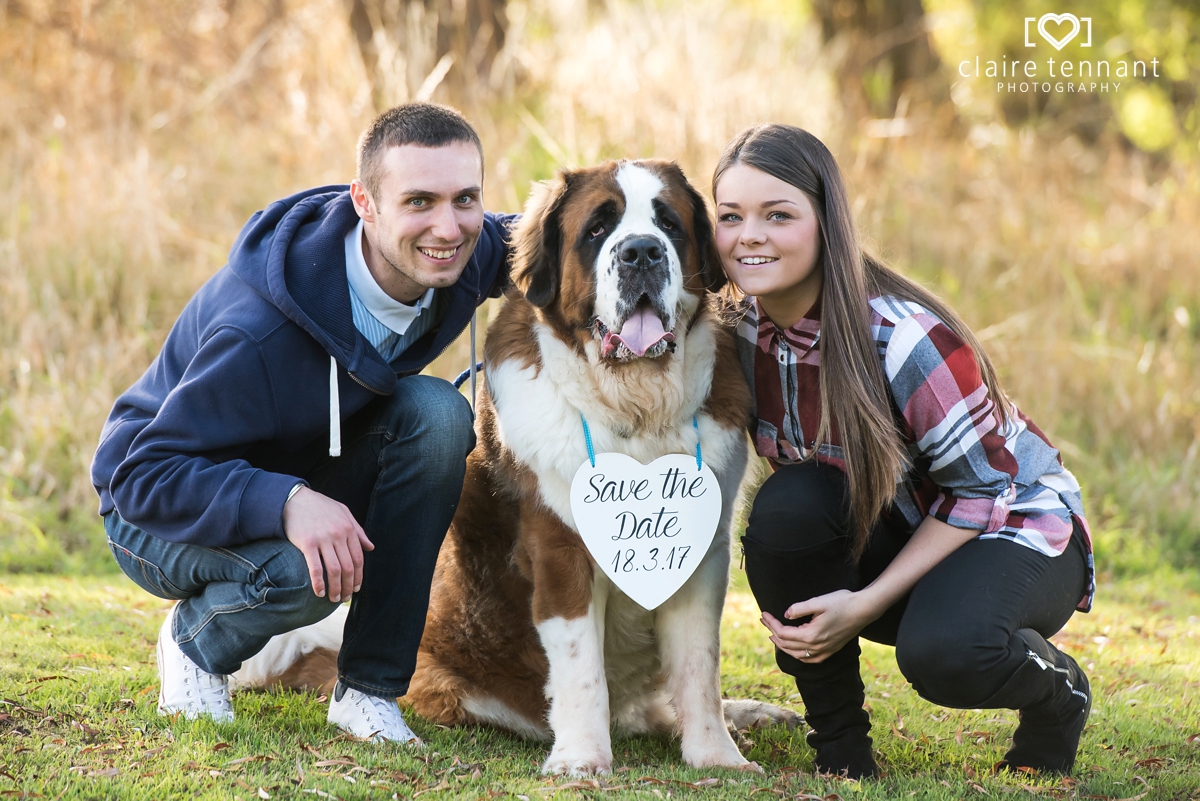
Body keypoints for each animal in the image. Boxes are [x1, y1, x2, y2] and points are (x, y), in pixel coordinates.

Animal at [234, 159, 796, 772]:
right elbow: (580, 664)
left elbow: (699, 665)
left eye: (669, 224)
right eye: (598, 230)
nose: (642, 252)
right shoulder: (560, 545)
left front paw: (716, 756)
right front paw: (581, 759)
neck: (634, 410)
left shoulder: (699, 551)